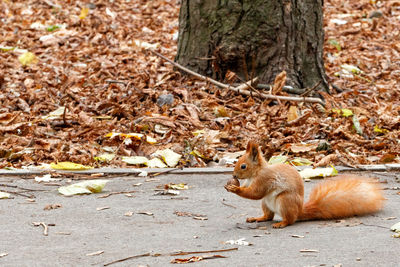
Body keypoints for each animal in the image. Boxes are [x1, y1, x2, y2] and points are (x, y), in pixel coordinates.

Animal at [225, 142, 384, 228]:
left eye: (243, 166)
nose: (234, 176)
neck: (256, 173)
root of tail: (299, 210)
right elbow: (250, 190)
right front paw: (230, 186)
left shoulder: (265, 179)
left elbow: (255, 193)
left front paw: (235, 188)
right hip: (266, 203)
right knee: (268, 216)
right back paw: (258, 218)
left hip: (285, 200)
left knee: (290, 220)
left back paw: (281, 223)